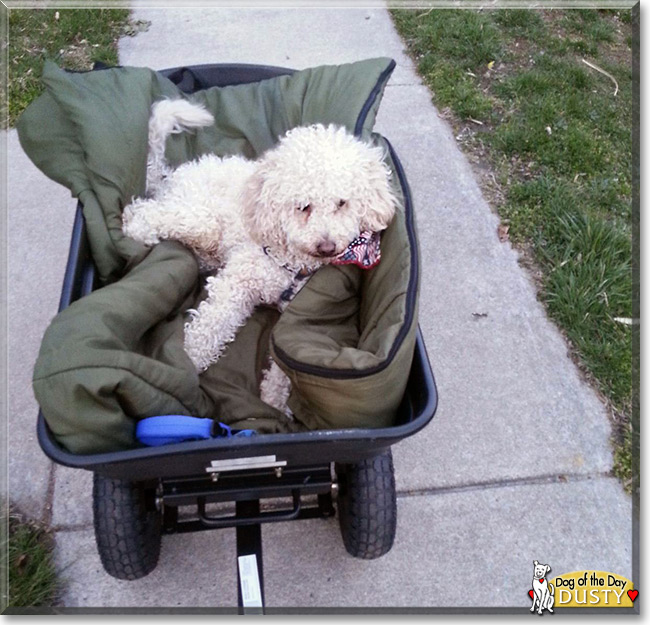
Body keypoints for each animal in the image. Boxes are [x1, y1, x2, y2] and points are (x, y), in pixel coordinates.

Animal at [121, 100, 394, 414]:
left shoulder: (297, 308)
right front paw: (187, 360)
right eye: (303, 206)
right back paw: (135, 226)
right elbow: (211, 324)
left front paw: (275, 396)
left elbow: (287, 355)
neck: (291, 262)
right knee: (146, 211)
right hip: (199, 220)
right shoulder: (239, 281)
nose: (326, 247)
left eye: (342, 203)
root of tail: (172, 177)